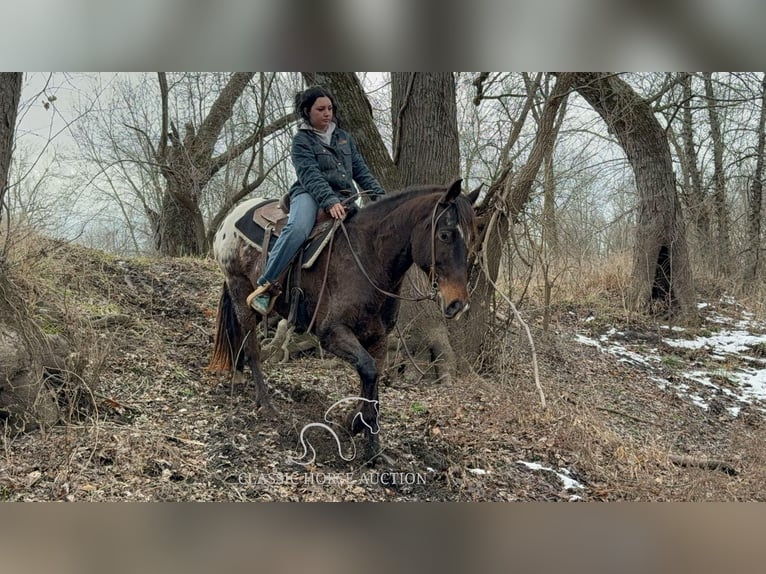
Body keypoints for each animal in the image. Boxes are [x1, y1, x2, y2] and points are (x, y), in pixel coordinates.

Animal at [207, 178, 476, 466]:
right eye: (445, 234)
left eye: (472, 238)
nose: (458, 303)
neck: (368, 257)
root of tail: (230, 218)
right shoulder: (332, 333)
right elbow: (369, 372)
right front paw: (363, 433)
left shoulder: (378, 338)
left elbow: (372, 379)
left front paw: (364, 436)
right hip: (238, 287)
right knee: (253, 347)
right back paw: (266, 404)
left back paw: (238, 373)